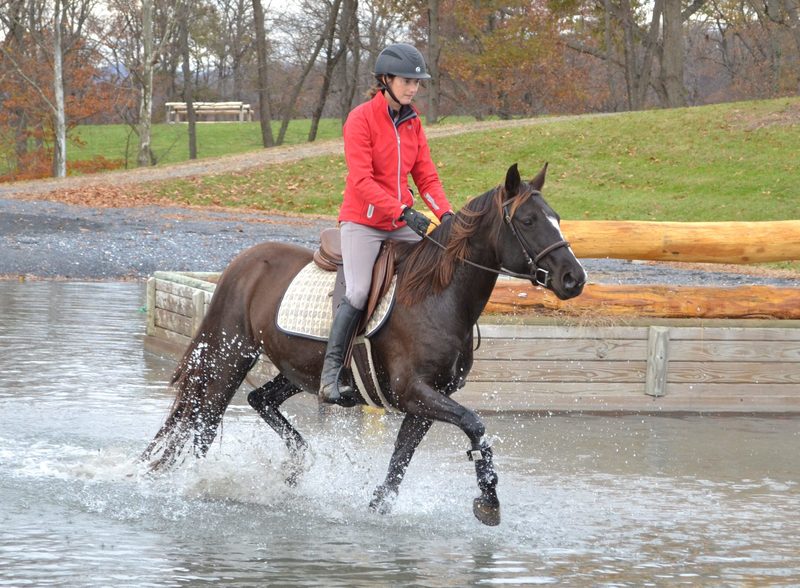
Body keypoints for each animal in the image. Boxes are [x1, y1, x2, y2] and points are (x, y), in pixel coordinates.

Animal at [141, 163, 584, 524]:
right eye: (528, 220)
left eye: (557, 218)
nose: (574, 278)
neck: (436, 296)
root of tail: (244, 260)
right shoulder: (414, 392)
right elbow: (475, 425)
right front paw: (489, 500)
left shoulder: (426, 400)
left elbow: (399, 462)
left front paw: (377, 507)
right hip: (228, 357)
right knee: (206, 420)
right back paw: (200, 484)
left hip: (298, 371)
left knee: (259, 400)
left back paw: (299, 467)